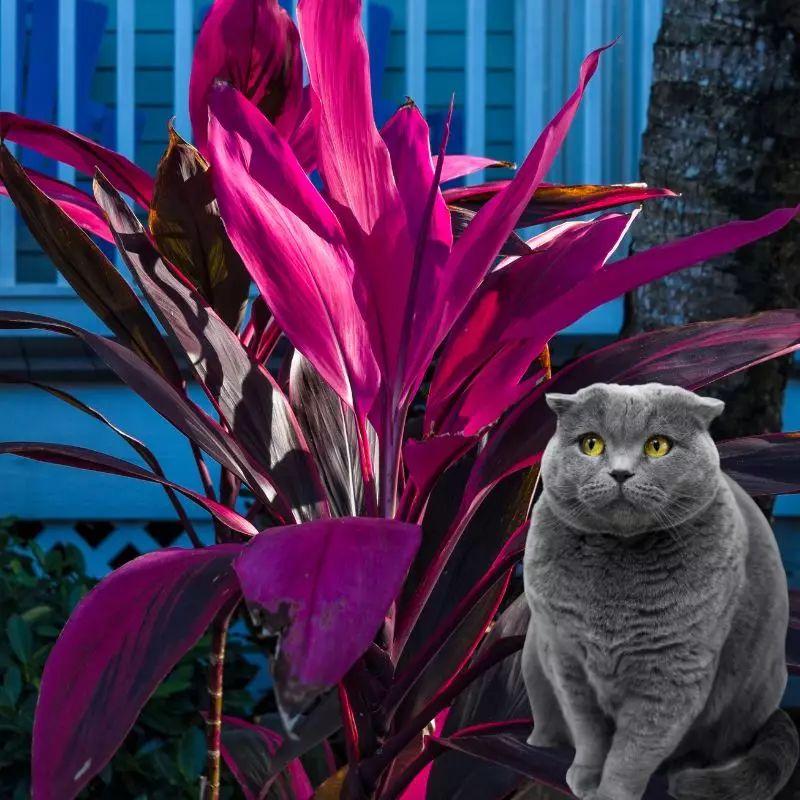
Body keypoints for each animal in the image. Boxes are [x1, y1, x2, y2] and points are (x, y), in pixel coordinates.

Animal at [520, 382, 796, 800]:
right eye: (591, 444)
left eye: (657, 446)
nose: (620, 472)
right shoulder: (566, 658)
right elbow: (589, 730)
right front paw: (584, 775)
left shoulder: (673, 669)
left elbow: (634, 750)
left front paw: (610, 794)